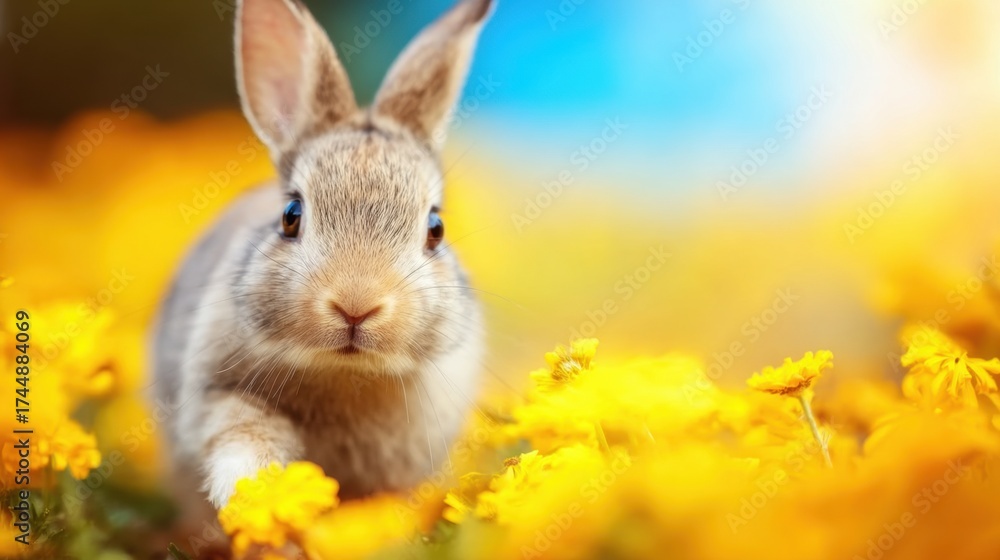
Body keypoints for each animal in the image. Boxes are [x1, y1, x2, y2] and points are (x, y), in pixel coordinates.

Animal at [152, 0, 494, 528]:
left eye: (435, 228)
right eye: (291, 216)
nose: (357, 304)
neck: (345, 372)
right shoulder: (218, 395)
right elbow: (242, 437)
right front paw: (255, 495)